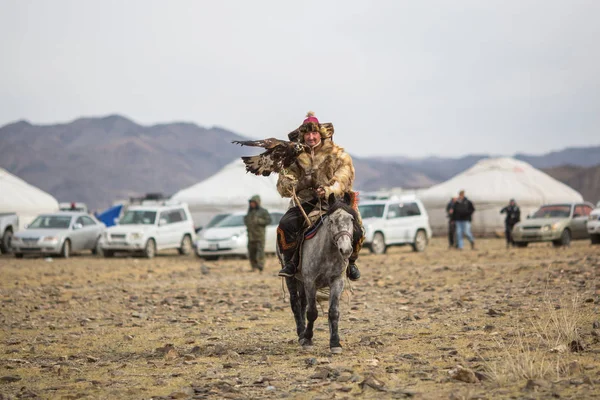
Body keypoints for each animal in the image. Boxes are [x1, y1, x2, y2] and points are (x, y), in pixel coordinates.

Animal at [280, 197, 356, 354]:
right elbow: (312, 312)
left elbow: (333, 312)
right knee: (295, 302)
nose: (346, 250)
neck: (328, 253)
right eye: (331, 221)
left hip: (302, 281)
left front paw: (335, 343)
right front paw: (308, 340)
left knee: (302, 302)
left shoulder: (337, 281)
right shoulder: (310, 281)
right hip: (292, 278)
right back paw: (301, 334)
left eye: (351, 219)